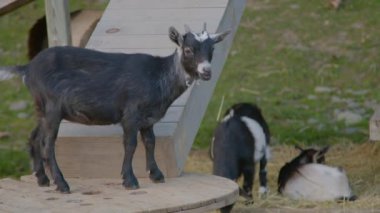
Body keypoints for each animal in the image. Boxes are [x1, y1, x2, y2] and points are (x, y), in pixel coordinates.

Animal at [0, 23, 230, 193]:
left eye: (212, 50)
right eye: (188, 50)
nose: (206, 72)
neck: (158, 76)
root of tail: (28, 68)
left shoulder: (147, 119)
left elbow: (150, 142)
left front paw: (156, 175)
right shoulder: (130, 114)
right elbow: (130, 145)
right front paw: (130, 180)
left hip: (42, 109)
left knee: (34, 137)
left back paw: (42, 179)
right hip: (52, 108)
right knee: (48, 144)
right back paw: (62, 184)